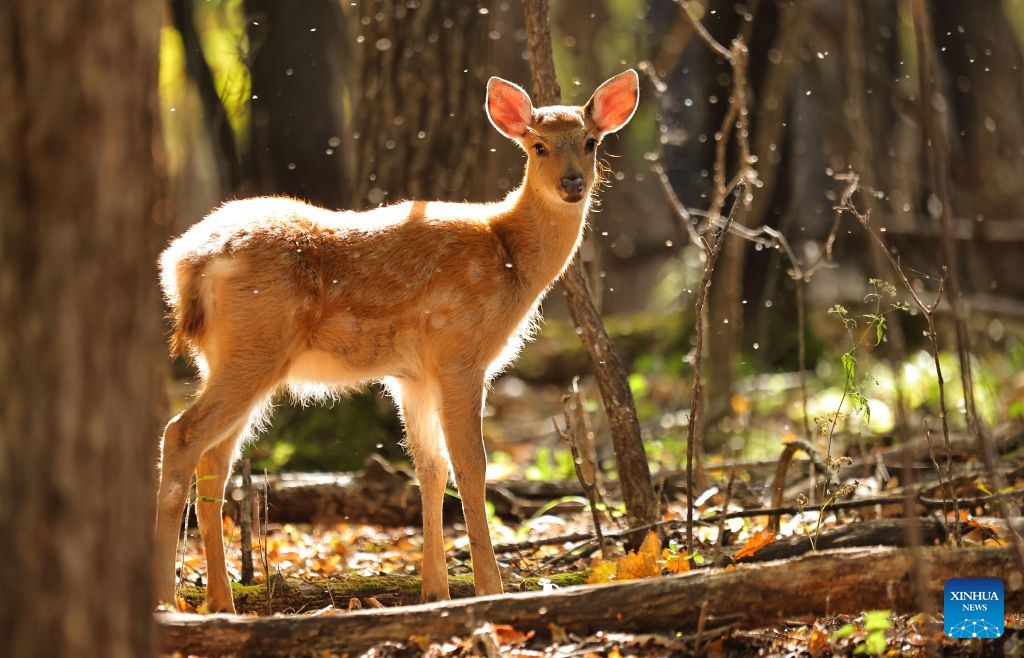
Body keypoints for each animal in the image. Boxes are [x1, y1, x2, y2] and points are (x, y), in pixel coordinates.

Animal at [154, 70, 640, 613]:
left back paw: (222, 601)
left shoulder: (412, 374)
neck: (509, 256)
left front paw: (435, 590)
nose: (572, 183)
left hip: (229, 356)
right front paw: (487, 588)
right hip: (256, 346)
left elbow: (430, 467)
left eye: (591, 142)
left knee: (215, 459)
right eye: (538, 146)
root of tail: (184, 264)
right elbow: (472, 465)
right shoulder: (460, 352)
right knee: (181, 434)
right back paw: (169, 600)